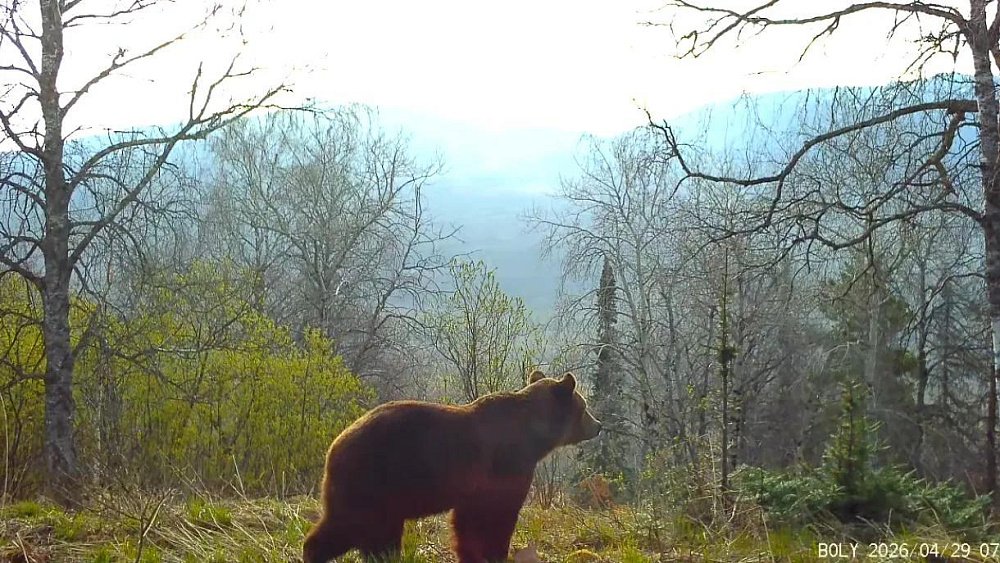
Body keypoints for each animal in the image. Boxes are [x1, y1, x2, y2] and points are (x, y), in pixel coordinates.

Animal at [302, 369, 602, 563]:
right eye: (584, 406)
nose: (598, 425)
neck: (534, 437)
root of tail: (335, 445)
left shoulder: (476, 485)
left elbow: (467, 522)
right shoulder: (507, 466)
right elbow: (497, 514)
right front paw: (496, 552)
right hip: (373, 481)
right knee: (352, 526)